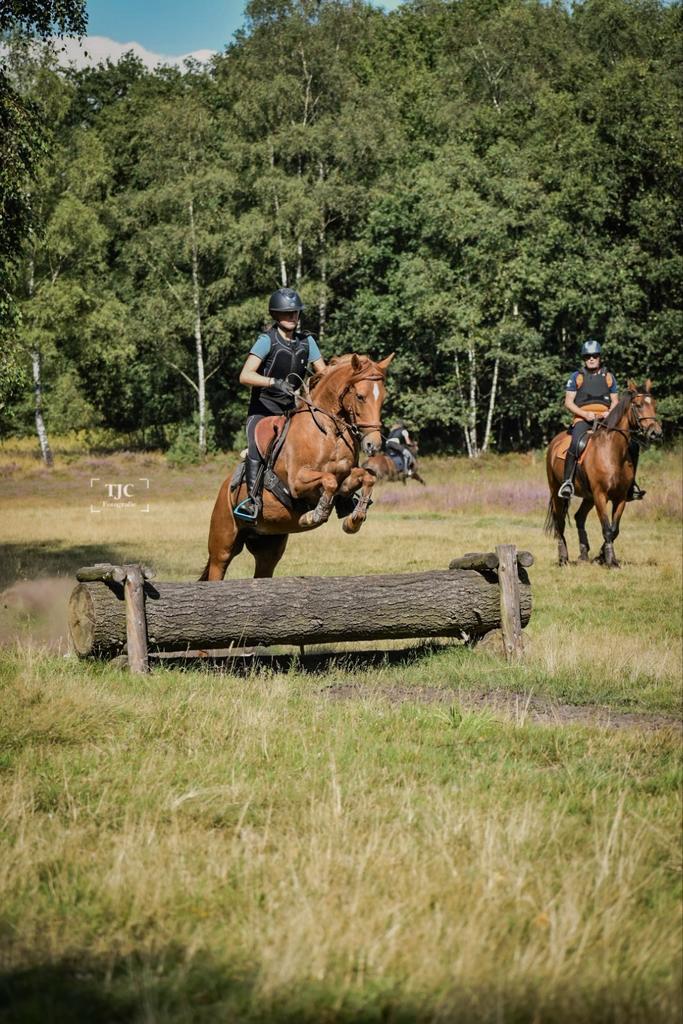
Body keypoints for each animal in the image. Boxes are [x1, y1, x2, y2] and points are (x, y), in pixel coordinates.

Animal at [200, 352, 394, 580]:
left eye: (383, 398)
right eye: (361, 397)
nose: (373, 445)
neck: (329, 431)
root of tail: (224, 489)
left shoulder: (345, 479)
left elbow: (368, 477)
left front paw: (354, 519)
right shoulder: (296, 482)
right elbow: (328, 480)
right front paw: (315, 515)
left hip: (268, 546)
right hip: (223, 544)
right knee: (218, 565)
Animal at [545, 380, 662, 568]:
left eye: (654, 404)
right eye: (638, 405)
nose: (656, 433)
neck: (613, 452)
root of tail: (554, 442)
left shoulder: (620, 498)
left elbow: (614, 529)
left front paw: (602, 555)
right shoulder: (600, 495)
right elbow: (606, 528)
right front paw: (611, 561)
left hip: (589, 497)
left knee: (579, 517)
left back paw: (583, 554)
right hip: (557, 491)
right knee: (560, 521)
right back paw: (563, 558)